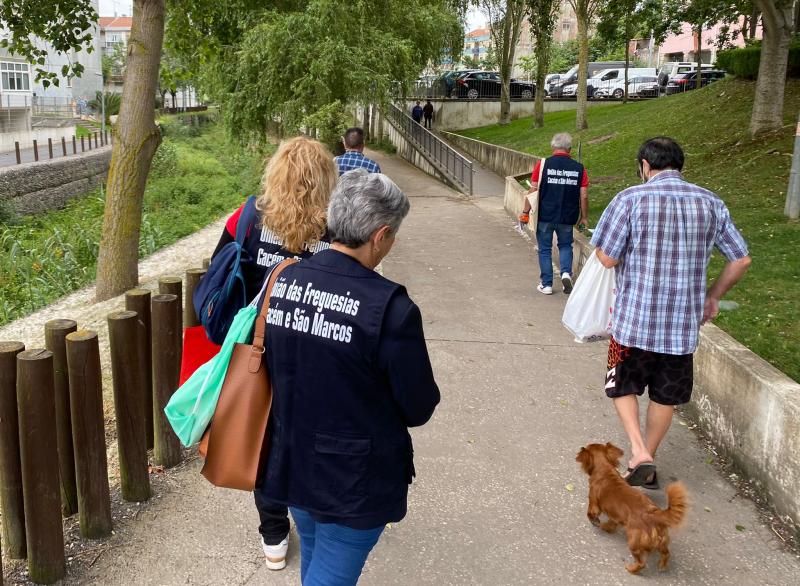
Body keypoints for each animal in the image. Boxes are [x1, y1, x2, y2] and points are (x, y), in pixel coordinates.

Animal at [576, 442, 688, 572]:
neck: (605, 470)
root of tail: (655, 515)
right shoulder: (616, 517)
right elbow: (612, 523)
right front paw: (606, 527)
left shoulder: (593, 502)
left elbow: (590, 513)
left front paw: (596, 522)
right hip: (662, 542)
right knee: (666, 553)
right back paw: (662, 566)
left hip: (634, 543)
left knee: (641, 563)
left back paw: (631, 568)